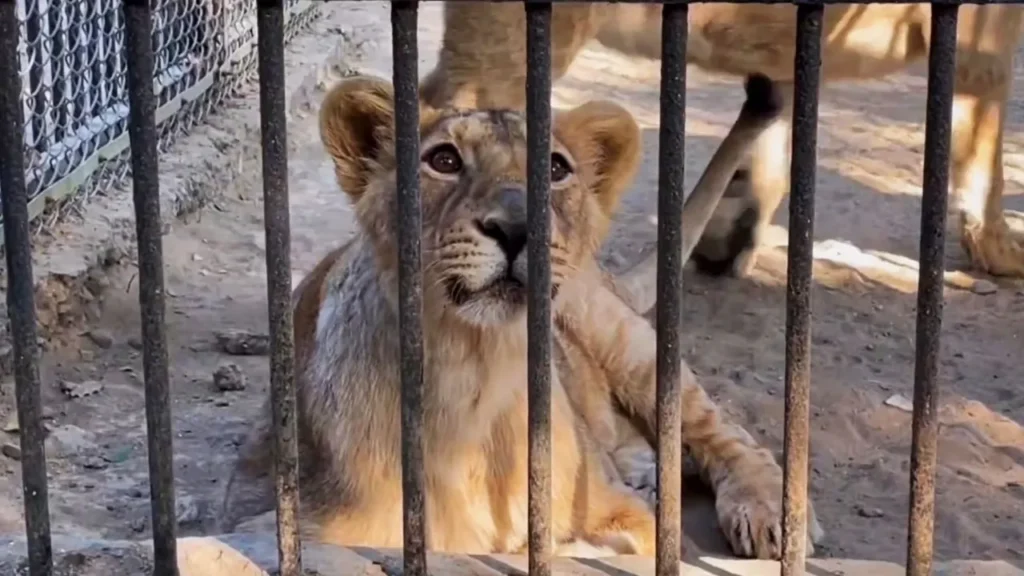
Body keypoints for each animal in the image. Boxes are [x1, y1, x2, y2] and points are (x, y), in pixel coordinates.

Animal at [219, 73, 823, 560]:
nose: (516, 224)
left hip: (620, 332)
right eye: (443, 160)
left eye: (556, 169)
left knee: (723, 431)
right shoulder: (272, 519)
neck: (474, 377)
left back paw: (772, 514)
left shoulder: (625, 514)